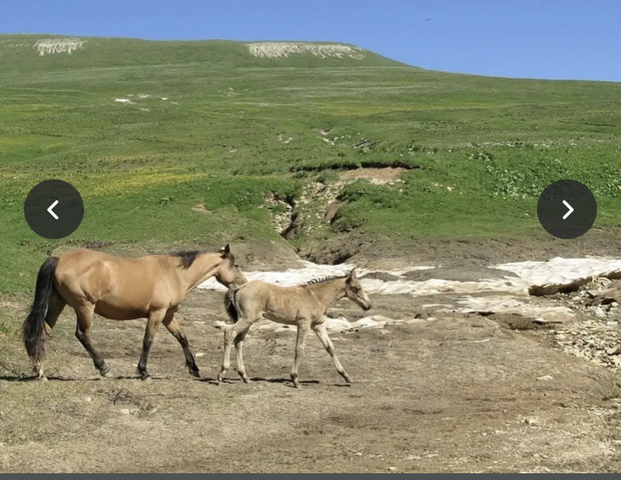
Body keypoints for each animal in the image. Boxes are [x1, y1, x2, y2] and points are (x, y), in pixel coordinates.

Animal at [23, 246, 247, 380]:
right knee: (82, 334)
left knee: (43, 331)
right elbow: (148, 341)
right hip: (84, 306)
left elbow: (182, 337)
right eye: (235, 264)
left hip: (57, 303)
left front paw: (194, 368)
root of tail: (59, 258)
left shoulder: (168, 316)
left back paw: (40, 371)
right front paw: (143, 371)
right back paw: (104, 368)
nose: (244, 283)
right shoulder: (157, 314)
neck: (173, 273)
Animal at [214, 268, 368, 388]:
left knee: (238, 341)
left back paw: (244, 376)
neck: (316, 297)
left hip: (247, 320)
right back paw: (222, 374)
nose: (368, 305)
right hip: (247, 319)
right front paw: (295, 379)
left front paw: (346, 376)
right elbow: (299, 349)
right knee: (229, 332)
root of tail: (240, 287)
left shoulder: (317, 325)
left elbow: (330, 347)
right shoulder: (303, 324)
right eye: (357, 288)